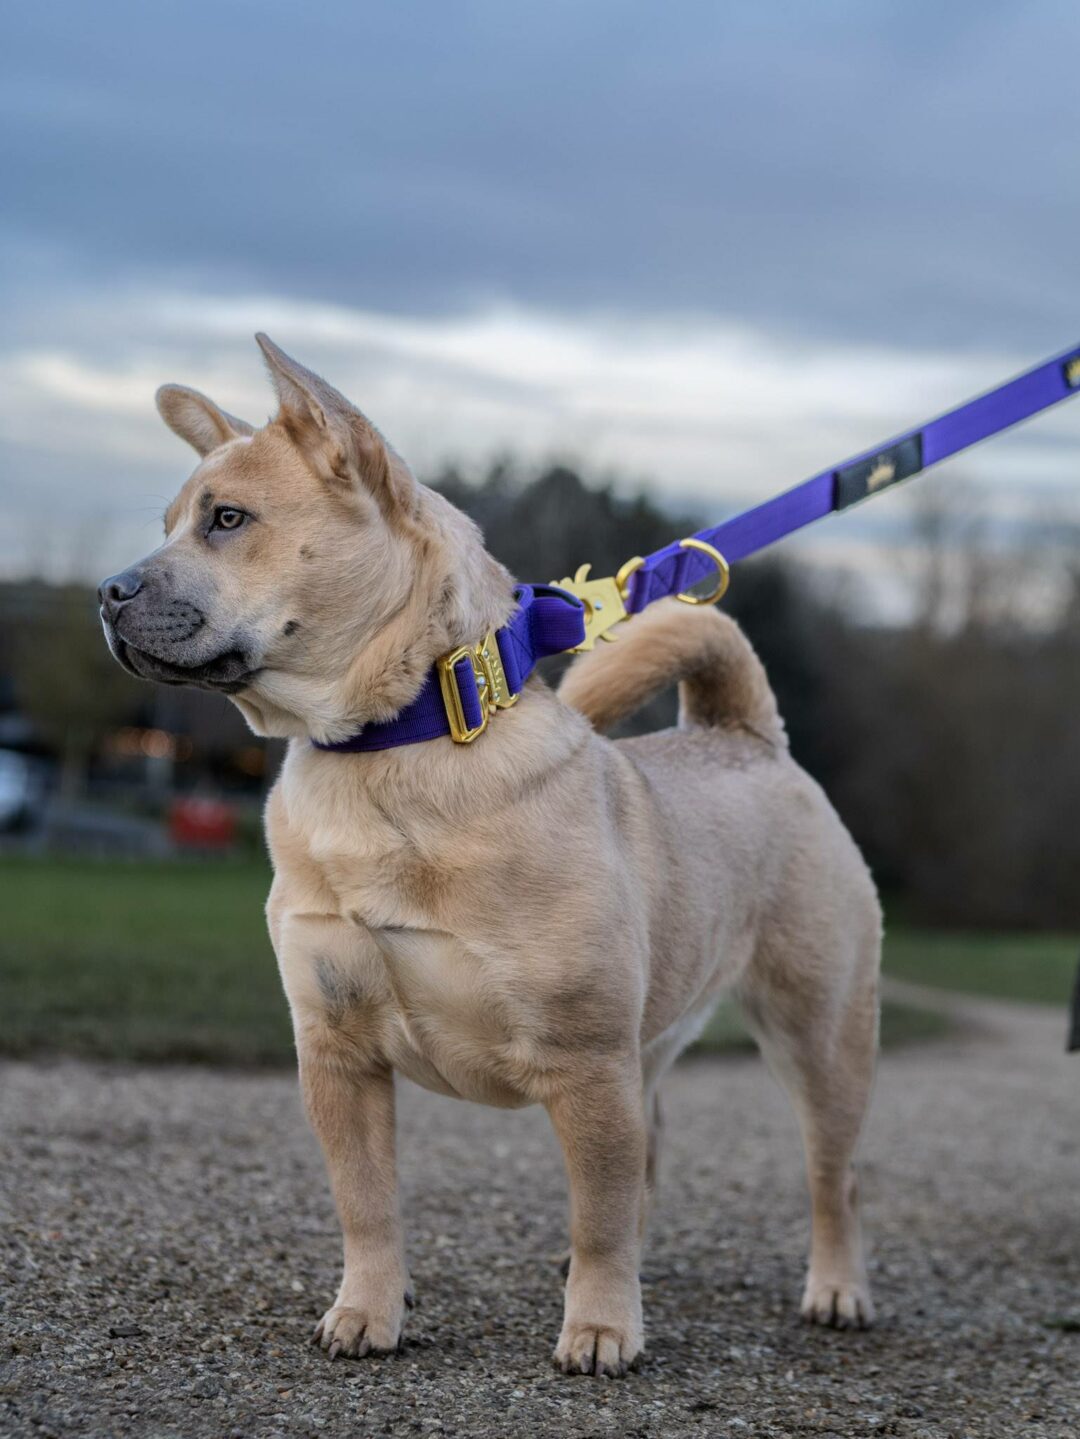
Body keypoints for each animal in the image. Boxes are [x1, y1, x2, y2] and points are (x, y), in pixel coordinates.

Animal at [97, 330, 880, 1375]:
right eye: (173, 523)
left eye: (228, 519)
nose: (108, 593)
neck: (392, 747)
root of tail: (748, 738)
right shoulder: (338, 1052)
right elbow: (369, 1205)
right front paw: (369, 1310)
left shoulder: (585, 1061)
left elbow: (599, 1211)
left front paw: (600, 1326)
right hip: (656, 1045)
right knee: (653, 1160)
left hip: (817, 1035)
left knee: (830, 1176)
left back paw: (835, 1287)